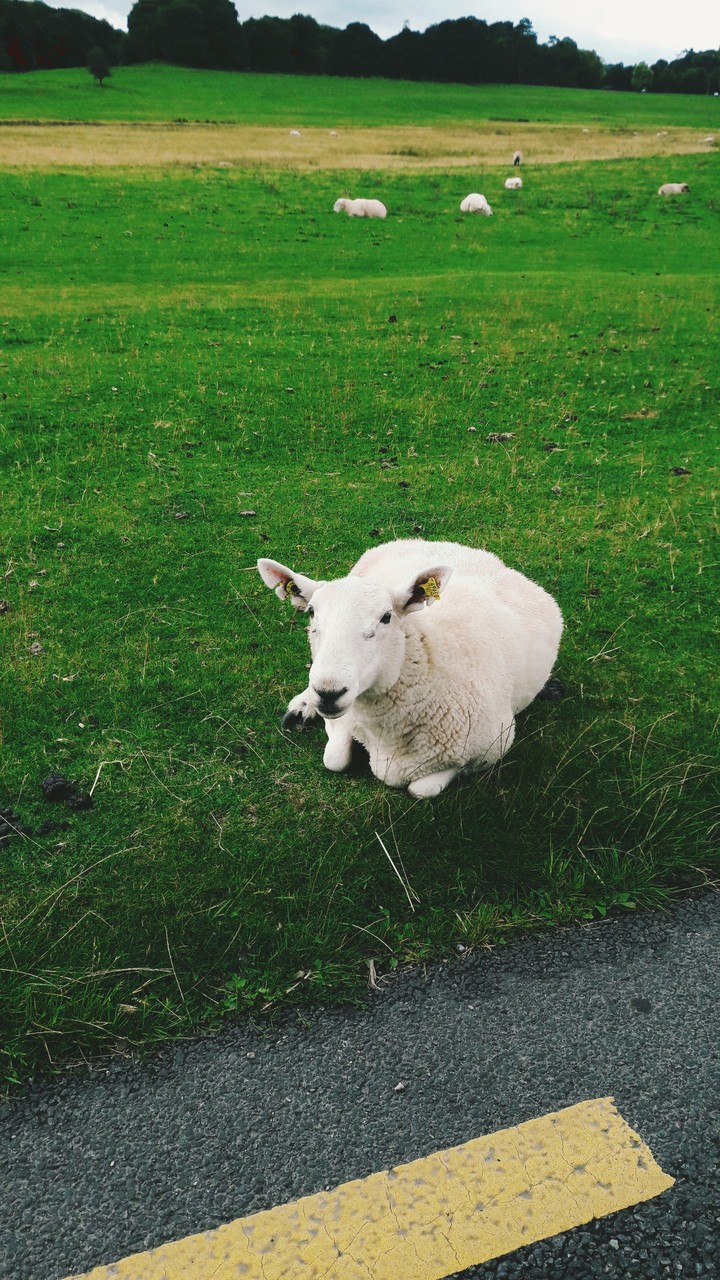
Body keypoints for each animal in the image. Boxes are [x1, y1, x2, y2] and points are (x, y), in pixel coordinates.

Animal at [257, 538, 563, 799]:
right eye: (311, 612)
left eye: (386, 617)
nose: (328, 692)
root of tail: (453, 545)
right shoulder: (344, 716)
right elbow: (334, 759)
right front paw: (309, 705)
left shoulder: (493, 746)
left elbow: (421, 790)